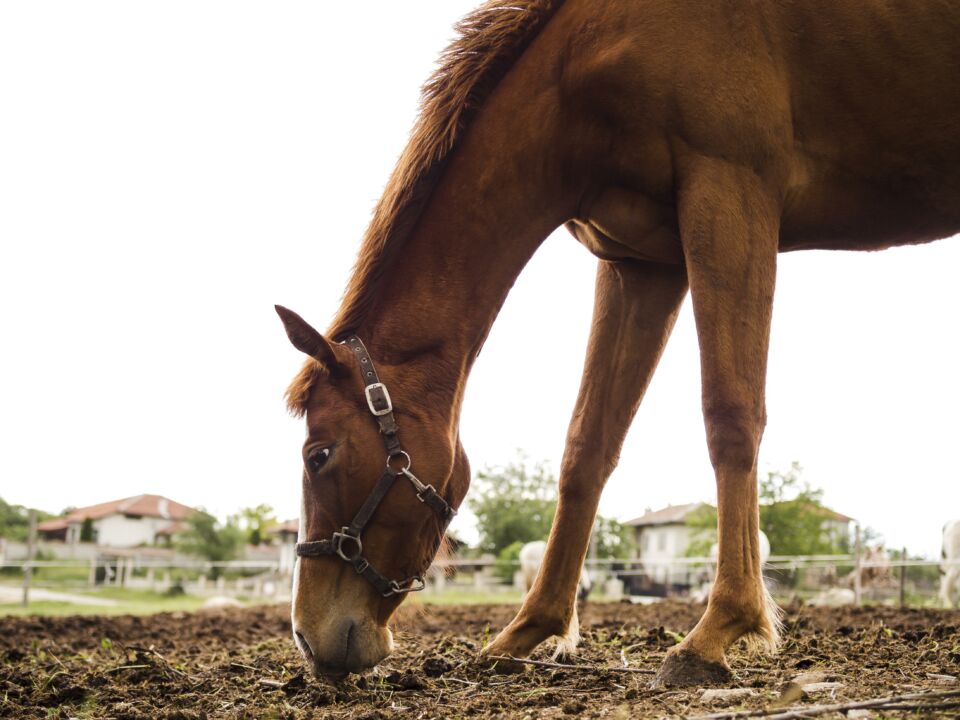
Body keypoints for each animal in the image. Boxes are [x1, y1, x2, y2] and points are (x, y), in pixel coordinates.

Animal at [274, 0, 956, 688]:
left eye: (318, 456)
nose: (306, 636)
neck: (588, 55)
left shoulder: (730, 193)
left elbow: (731, 416)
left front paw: (717, 630)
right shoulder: (640, 262)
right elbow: (587, 448)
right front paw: (528, 630)